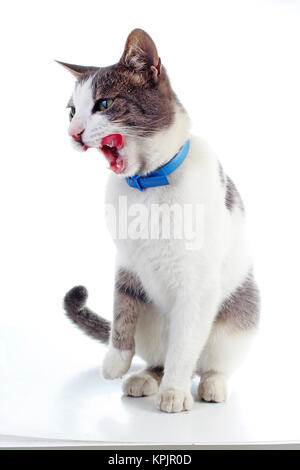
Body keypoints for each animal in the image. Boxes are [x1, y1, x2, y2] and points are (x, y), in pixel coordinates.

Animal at [59, 28, 258, 412]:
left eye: (104, 104)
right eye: (72, 111)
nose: (73, 133)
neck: (147, 185)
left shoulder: (197, 287)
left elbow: (184, 348)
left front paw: (175, 392)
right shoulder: (126, 263)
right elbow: (121, 312)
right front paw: (116, 361)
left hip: (236, 321)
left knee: (206, 362)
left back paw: (209, 384)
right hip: (151, 325)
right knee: (158, 358)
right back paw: (144, 378)